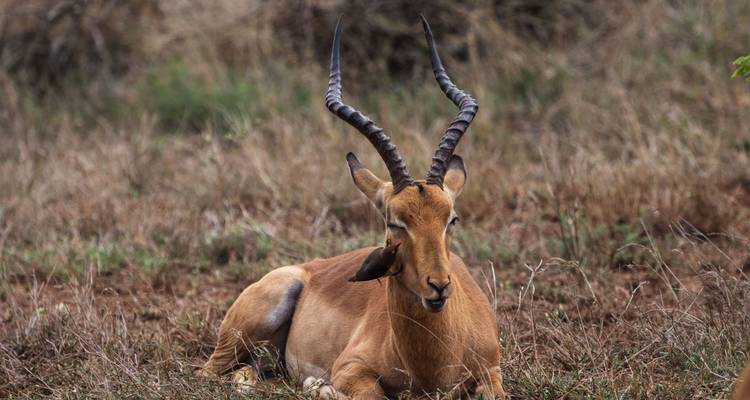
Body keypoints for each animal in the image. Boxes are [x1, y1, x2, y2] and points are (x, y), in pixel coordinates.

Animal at [201, 16, 506, 399]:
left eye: (451, 219)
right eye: (394, 223)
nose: (438, 285)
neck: (434, 364)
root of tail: (307, 269)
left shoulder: (492, 373)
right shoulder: (351, 369)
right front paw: (320, 386)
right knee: (211, 374)